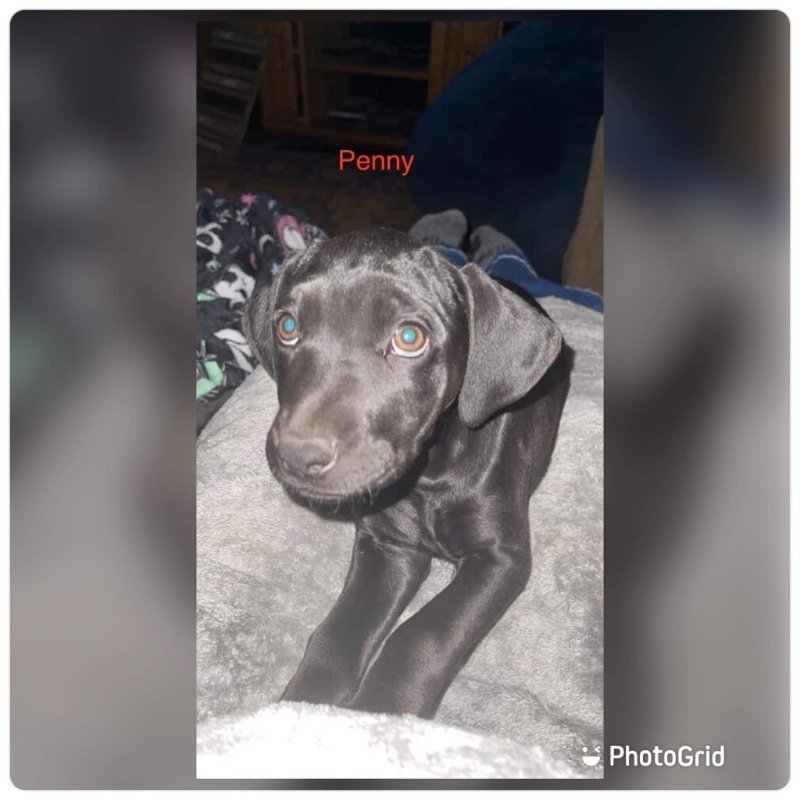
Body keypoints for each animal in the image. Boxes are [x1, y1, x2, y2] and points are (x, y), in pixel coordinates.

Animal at [242, 227, 568, 720]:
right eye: (288, 327)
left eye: (409, 337)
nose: (297, 456)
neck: (428, 477)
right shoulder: (389, 547)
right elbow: (338, 631)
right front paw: (306, 706)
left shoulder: (500, 557)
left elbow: (422, 633)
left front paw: (383, 708)